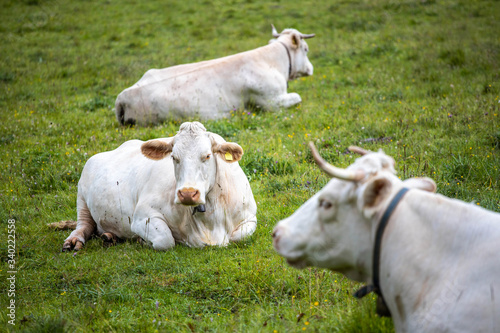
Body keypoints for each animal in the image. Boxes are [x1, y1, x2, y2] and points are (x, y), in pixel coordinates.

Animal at [56, 121, 256, 249]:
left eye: (207, 156)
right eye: (174, 157)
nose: (187, 193)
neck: (210, 223)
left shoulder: (250, 218)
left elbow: (238, 237)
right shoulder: (142, 217)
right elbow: (165, 240)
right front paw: (141, 240)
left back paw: (109, 236)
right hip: (81, 197)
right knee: (83, 225)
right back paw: (74, 241)